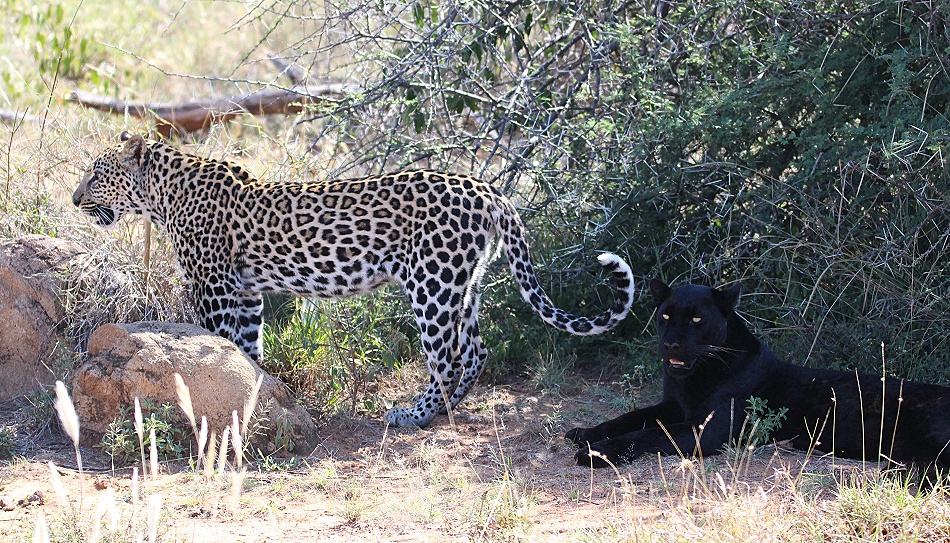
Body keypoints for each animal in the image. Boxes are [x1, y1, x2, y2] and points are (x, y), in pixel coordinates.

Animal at [73, 133, 636, 428]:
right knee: (474, 350)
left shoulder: (214, 288)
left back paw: (414, 415)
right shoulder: (247, 293)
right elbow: (246, 350)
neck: (163, 193)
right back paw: (448, 407)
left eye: (96, 174)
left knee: (448, 355)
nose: (75, 199)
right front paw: (259, 395)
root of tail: (486, 188)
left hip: (431, 283)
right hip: (464, 282)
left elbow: (222, 342)